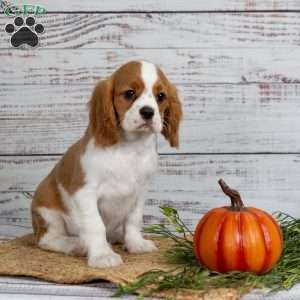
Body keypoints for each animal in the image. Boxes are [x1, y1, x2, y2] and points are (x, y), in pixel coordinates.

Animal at [30, 60, 182, 268]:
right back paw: (76, 244)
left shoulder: (140, 191)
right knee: (46, 239)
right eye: (129, 93)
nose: (148, 112)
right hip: (48, 212)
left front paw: (135, 243)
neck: (130, 148)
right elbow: (95, 225)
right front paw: (102, 255)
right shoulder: (84, 192)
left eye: (161, 96)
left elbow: (134, 220)